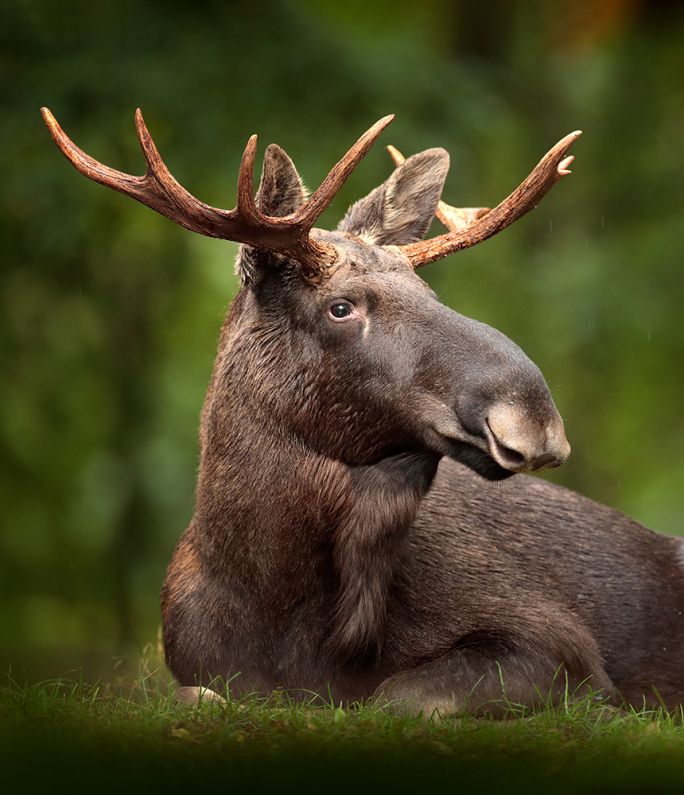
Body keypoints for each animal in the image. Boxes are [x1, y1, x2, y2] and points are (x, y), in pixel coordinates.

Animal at [42, 107, 684, 716]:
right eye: (340, 307)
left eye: (430, 295)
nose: (534, 416)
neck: (274, 601)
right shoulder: (191, 668)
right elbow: (198, 697)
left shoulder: (559, 644)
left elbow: (398, 696)